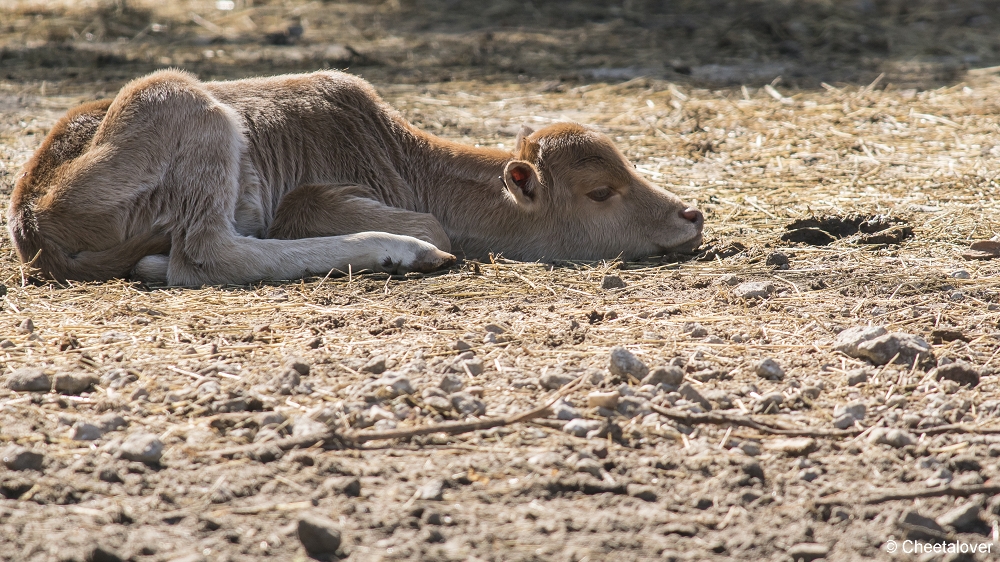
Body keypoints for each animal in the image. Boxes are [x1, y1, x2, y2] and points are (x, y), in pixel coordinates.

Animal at [7, 69, 704, 284]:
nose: (690, 214)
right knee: (202, 254)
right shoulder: (309, 199)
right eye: (600, 192)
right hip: (186, 104)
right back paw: (406, 252)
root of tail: (30, 209)